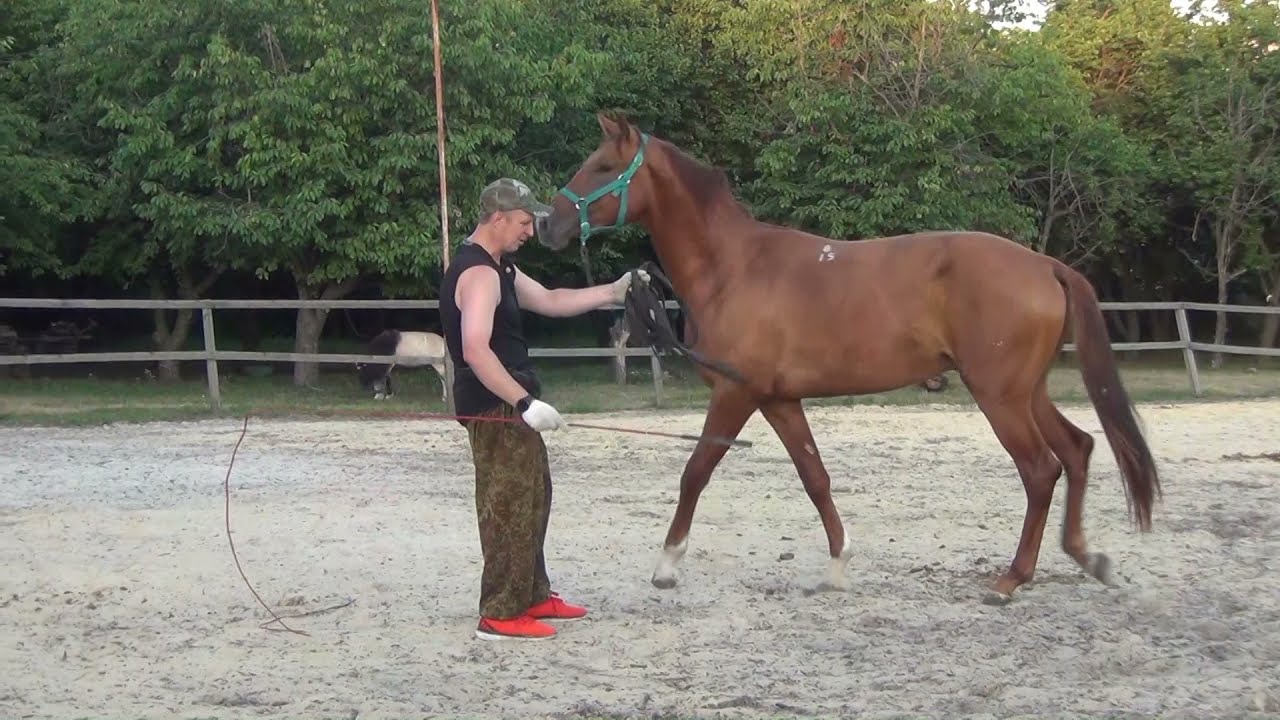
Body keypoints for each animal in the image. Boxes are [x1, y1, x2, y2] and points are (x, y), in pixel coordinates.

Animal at [536, 112, 1161, 605]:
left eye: (600, 166)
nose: (547, 223)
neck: (735, 267)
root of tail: (1045, 266)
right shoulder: (779, 399)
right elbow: (815, 478)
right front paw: (838, 567)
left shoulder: (736, 394)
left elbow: (695, 472)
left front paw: (667, 565)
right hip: (1027, 392)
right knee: (1077, 450)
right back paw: (1087, 558)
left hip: (1000, 396)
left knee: (1040, 469)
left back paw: (1011, 580)